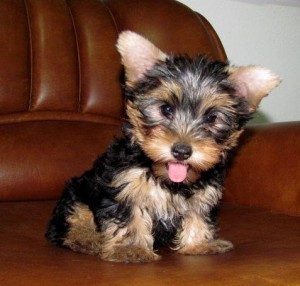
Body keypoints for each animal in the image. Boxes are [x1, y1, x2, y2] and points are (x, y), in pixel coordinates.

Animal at [45, 30, 280, 262]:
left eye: (212, 118)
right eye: (165, 109)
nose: (182, 151)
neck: (168, 180)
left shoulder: (204, 194)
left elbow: (197, 214)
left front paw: (198, 244)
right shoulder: (125, 185)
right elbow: (129, 215)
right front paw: (131, 249)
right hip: (77, 192)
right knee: (74, 218)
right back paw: (87, 239)